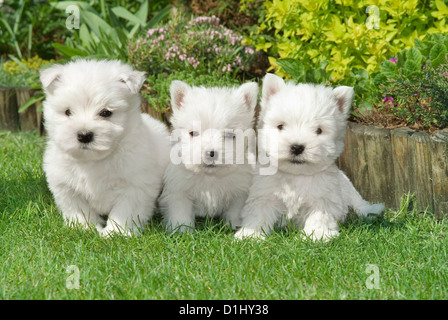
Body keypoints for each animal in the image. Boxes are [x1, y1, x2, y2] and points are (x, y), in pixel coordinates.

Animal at [40, 59, 170, 235]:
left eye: (106, 113)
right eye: (68, 112)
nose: (84, 135)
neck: (93, 162)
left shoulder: (136, 186)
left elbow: (124, 211)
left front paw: (114, 233)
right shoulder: (66, 186)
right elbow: (78, 210)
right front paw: (84, 228)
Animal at [160, 80, 260, 232]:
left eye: (230, 135)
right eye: (193, 133)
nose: (211, 153)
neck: (210, 177)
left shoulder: (240, 192)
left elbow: (235, 211)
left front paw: (234, 225)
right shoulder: (179, 190)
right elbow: (181, 212)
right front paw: (182, 230)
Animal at [234, 74, 384, 241]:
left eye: (318, 130)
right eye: (281, 126)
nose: (297, 147)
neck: (295, 176)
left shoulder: (323, 197)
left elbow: (319, 216)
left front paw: (317, 235)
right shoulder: (264, 194)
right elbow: (258, 213)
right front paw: (250, 234)